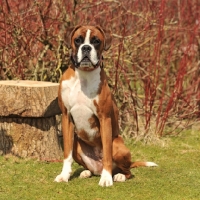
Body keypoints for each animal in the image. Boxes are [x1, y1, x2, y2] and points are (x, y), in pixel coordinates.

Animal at [54, 25, 158, 188]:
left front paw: (106, 179)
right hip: (78, 145)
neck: (83, 76)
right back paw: (86, 172)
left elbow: (107, 155)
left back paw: (118, 176)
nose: (86, 47)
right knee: (90, 167)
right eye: (78, 40)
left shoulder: (105, 118)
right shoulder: (66, 117)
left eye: (96, 41)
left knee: (127, 170)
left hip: (117, 145)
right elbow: (66, 154)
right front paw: (64, 175)